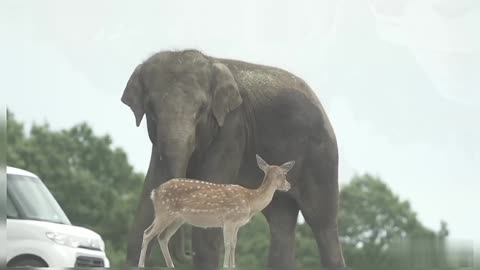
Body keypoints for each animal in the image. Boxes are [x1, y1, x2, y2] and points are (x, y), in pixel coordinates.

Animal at [139, 154, 294, 268]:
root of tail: (154, 192)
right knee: (147, 233)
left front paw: (233, 266)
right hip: (164, 212)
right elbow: (227, 244)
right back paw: (141, 265)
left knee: (162, 237)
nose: (289, 186)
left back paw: (171, 266)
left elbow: (234, 244)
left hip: (177, 219)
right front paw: (226, 266)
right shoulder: (229, 219)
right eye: (284, 175)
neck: (250, 201)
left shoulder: (237, 224)